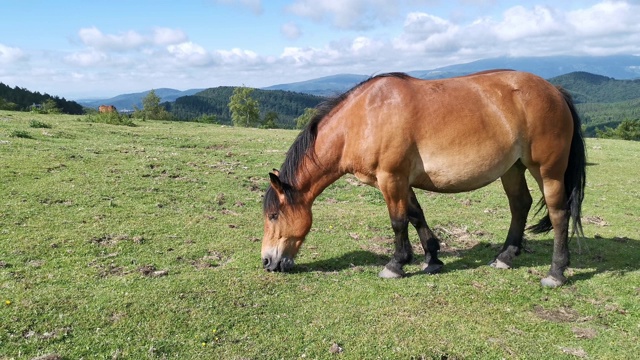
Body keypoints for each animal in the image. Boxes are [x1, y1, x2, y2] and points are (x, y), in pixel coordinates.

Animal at [262, 70, 584, 288]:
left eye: (274, 215)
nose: (267, 262)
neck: (362, 119)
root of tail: (555, 90)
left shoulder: (391, 178)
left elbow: (398, 221)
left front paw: (396, 264)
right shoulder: (401, 180)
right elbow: (416, 215)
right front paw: (432, 259)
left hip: (547, 170)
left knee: (558, 213)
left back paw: (556, 272)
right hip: (513, 168)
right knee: (520, 205)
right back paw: (505, 257)